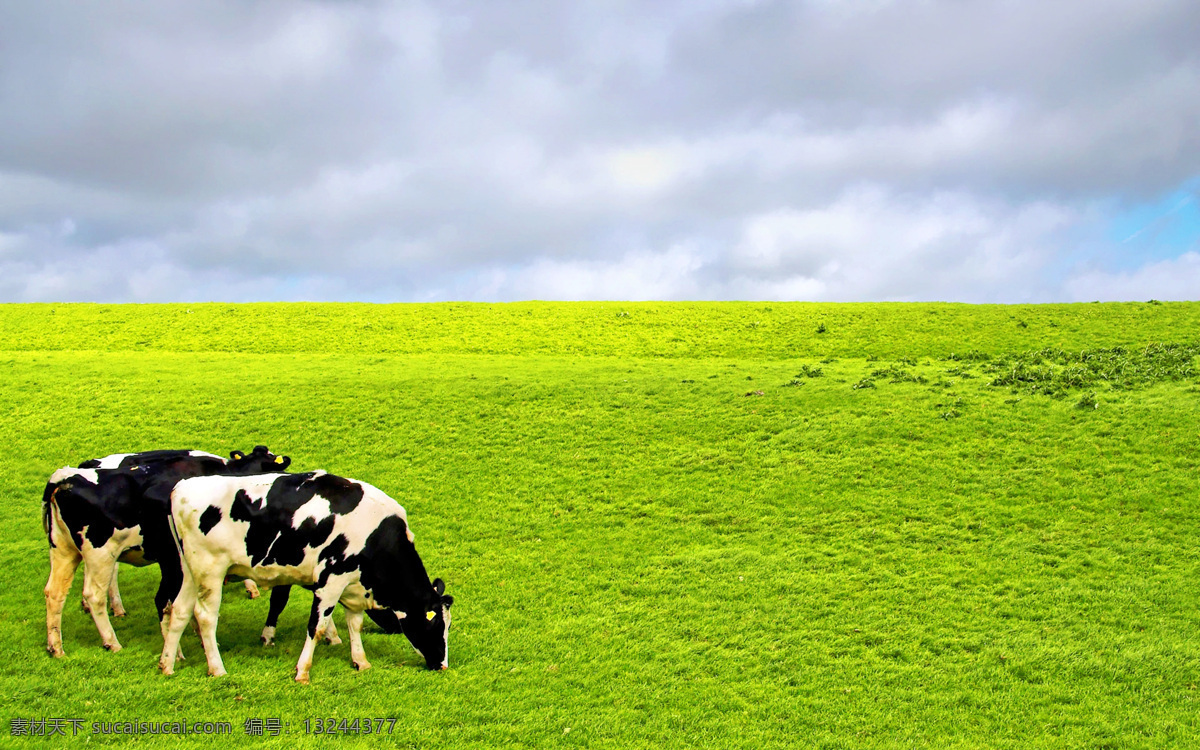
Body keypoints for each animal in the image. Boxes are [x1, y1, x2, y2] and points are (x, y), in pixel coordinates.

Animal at [43, 444, 291, 652]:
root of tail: (64, 477)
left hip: (64, 551)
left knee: (55, 592)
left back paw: (56, 647)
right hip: (100, 552)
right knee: (95, 594)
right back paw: (112, 641)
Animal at [162, 470, 451, 681]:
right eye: (436, 624)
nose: (442, 664)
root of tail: (181, 487)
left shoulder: (352, 585)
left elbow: (354, 624)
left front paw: (361, 661)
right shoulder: (331, 582)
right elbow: (317, 626)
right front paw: (303, 671)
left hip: (189, 570)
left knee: (179, 611)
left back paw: (167, 664)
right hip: (211, 571)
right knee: (205, 617)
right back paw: (217, 668)